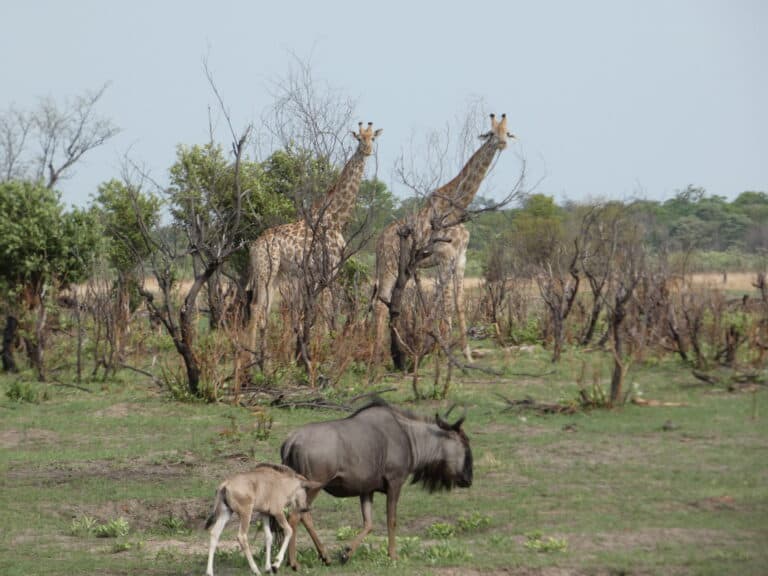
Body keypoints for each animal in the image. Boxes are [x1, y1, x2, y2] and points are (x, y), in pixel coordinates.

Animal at [246, 122, 382, 361]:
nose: (367, 150)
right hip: (265, 271)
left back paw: (265, 356)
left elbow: (315, 310)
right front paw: (324, 350)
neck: (336, 217)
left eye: (372, 138)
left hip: (276, 274)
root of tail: (254, 247)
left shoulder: (320, 273)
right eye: (359, 139)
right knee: (255, 307)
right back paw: (251, 358)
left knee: (265, 308)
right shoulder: (328, 268)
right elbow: (326, 309)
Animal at [280, 398, 473, 567]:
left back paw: (319, 557)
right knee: (297, 516)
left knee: (295, 516)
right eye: (464, 442)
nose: (468, 479)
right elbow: (391, 520)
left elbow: (369, 524)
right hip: (313, 487)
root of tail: (291, 441)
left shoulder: (367, 490)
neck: (409, 437)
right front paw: (393, 555)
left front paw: (346, 553)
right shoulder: (395, 483)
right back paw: (296, 562)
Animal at [371, 113, 514, 363]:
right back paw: (379, 358)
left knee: (387, 304)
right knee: (380, 305)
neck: (456, 208)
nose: (503, 143)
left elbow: (458, 304)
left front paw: (466, 354)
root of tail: (378, 243)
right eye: (491, 133)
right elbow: (446, 306)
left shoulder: (461, 258)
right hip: (388, 266)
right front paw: (446, 355)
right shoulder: (445, 257)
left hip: (400, 268)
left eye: (508, 132)